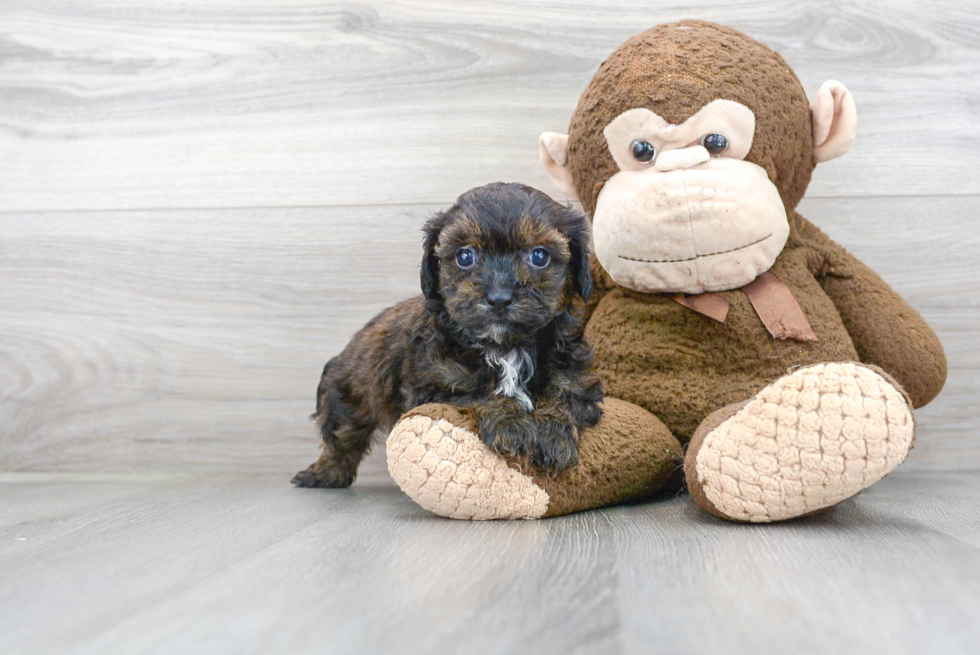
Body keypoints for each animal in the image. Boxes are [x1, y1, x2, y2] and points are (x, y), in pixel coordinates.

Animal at [290, 182, 600, 490]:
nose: (499, 298)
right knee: (341, 439)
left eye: (539, 256)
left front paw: (551, 430)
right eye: (465, 256)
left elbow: (564, 393)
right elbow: (480, 394)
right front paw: (512, 423)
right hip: (350, 395)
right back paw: (323, 474)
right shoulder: (435, 387)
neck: (504, 348)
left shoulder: (573, 373)